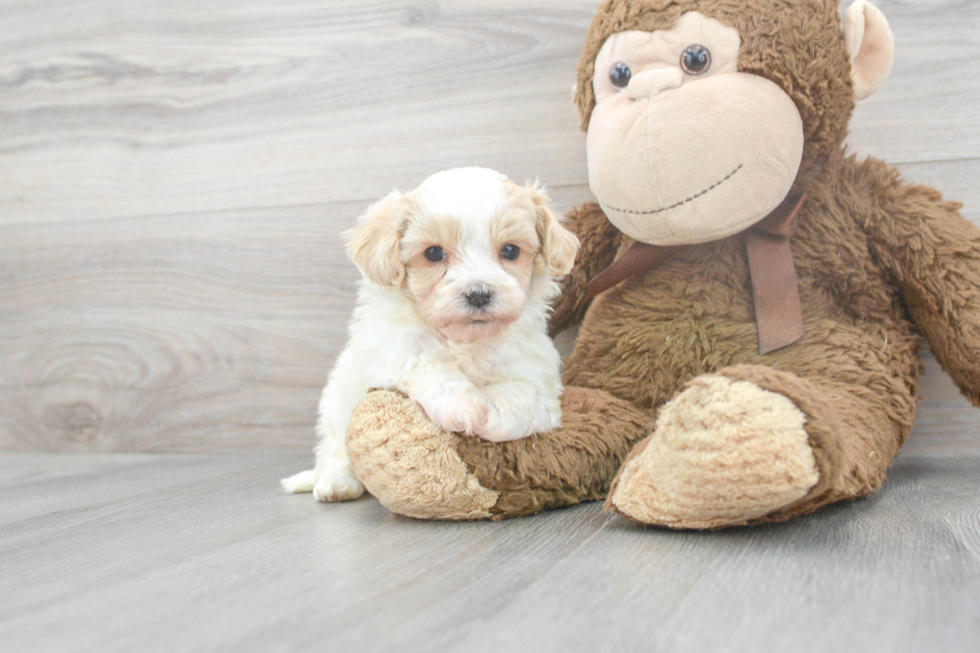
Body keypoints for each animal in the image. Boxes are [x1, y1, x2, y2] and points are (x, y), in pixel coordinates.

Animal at [280, 167, 580, 500]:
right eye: (434, 253)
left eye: (510, 250)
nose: (478, 294)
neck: (464, 340)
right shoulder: (396, 347)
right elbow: (431, 367)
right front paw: (466, 406)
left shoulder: (535, 369)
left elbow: (523, 394)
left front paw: (493, 416)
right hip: (337, 403)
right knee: (334, 450)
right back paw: (335, 484)